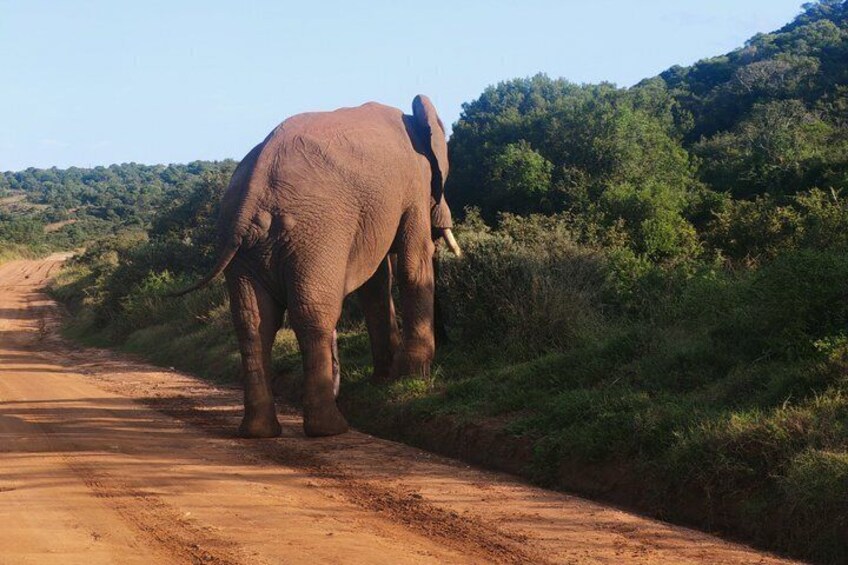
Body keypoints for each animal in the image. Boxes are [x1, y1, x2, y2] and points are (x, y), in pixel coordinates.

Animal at [174, 95, 460, 439]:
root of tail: (255, 185)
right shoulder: (414, 184)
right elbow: (412, 262)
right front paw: (412, 379)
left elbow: (375, 284)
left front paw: (384, 380)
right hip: (318, 233)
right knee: (313, 313)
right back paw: (330, 428)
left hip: (241, 240)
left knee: (252, 321)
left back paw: (259, 432)